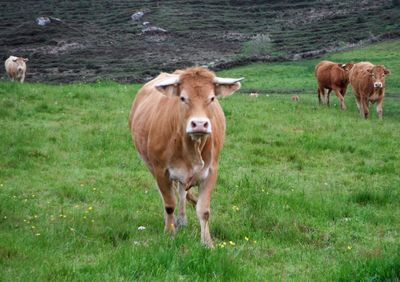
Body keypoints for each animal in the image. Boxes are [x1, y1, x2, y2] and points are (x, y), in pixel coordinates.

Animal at [129, 66, 241, 247]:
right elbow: (169, 203)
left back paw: (182, 220)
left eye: (211, 98)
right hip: (150, 166)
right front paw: (169, 232)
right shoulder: (161, 171)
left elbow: (203, 210)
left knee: (181, 192)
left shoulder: (211, 171)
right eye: (182, 98)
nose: (200, 124)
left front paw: (207, 242)